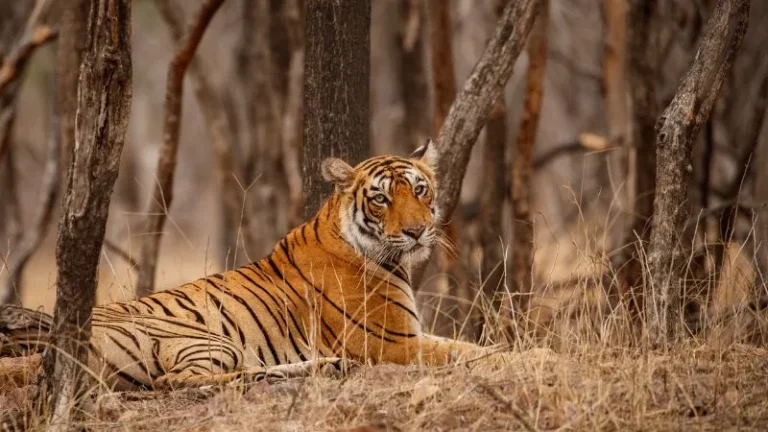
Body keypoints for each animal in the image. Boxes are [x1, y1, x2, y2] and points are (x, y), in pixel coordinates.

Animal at [0, 140, 486, 391]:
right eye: (381, 198)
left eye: (420, 189)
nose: (418, 231)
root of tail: (49, 343)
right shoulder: (393, 344)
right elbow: (471, 351)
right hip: (204, 339)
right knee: (179, 381)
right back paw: (319, 368)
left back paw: (324, 367)